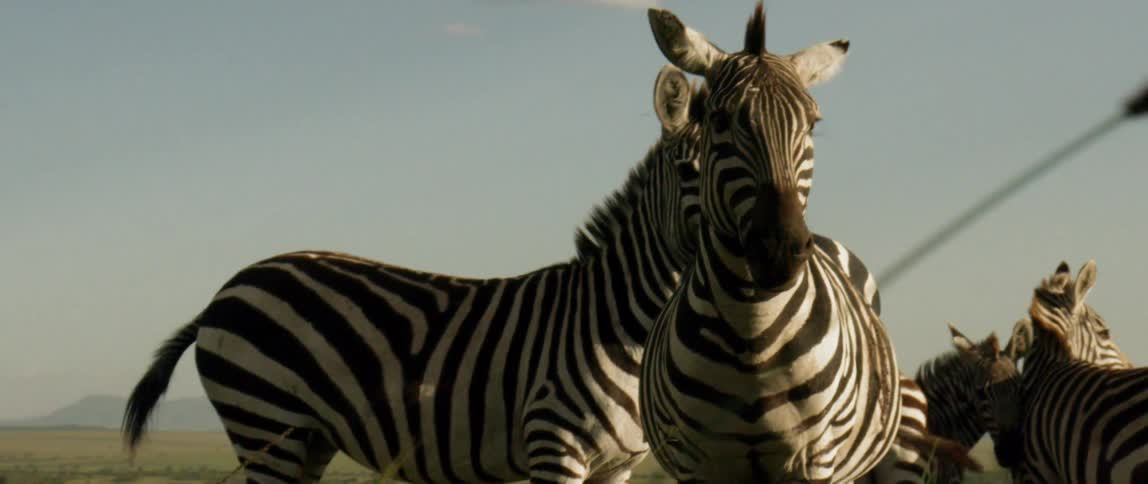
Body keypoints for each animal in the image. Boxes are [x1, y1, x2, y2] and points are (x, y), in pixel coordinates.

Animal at [121, 67, 713, 484]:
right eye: (689, 170)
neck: (617, 318)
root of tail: (222, 293)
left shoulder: (616, 466)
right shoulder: (554, 442)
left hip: (306, 436)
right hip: (264, 419)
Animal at [638, 4, 902, 482]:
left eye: (812, 124)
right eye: (720, 121)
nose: (782, 250)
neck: (752, 333)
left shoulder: (816, 456)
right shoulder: (693, 460)